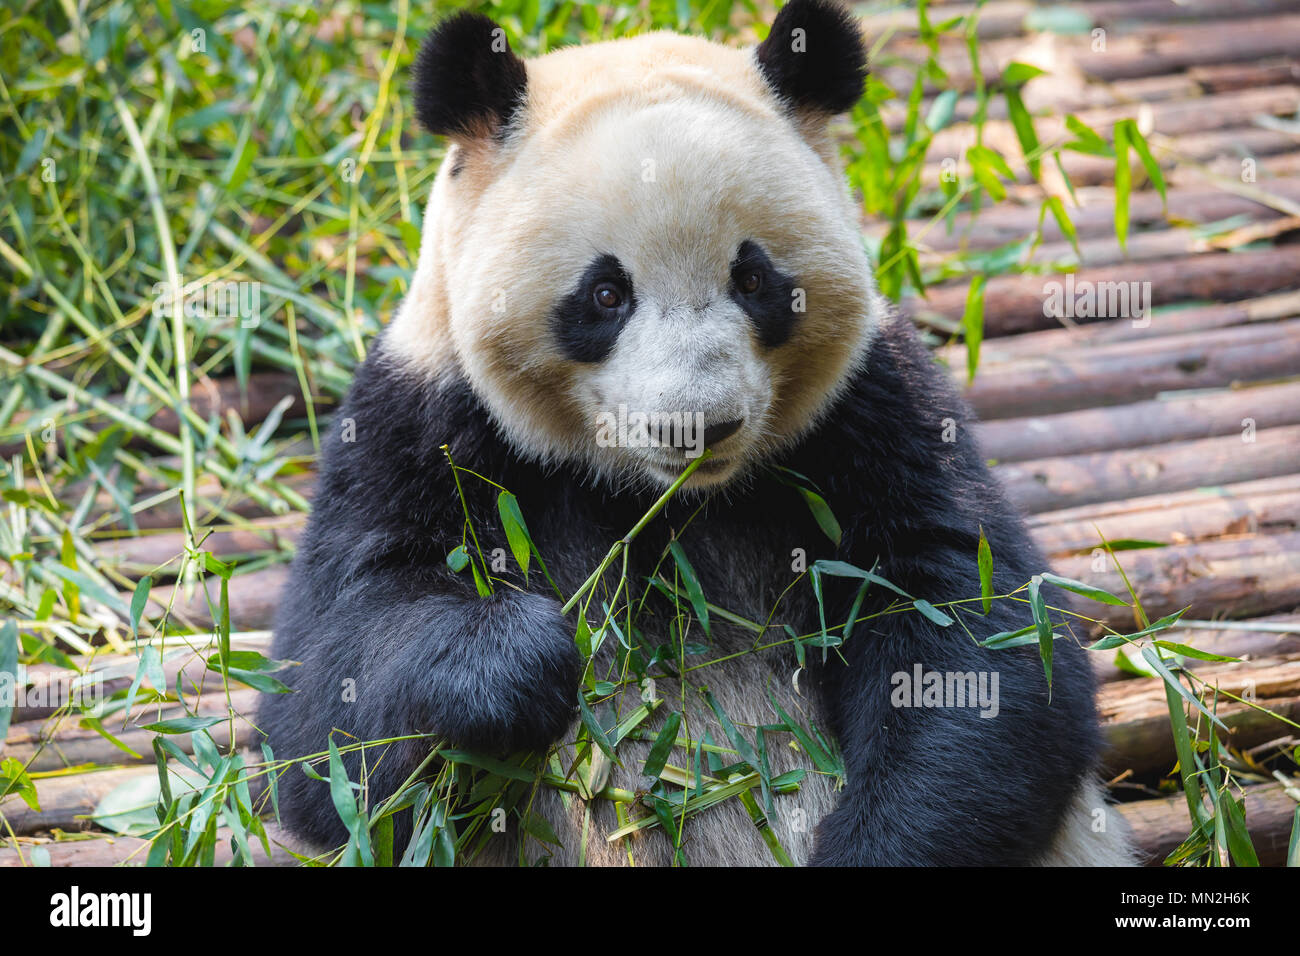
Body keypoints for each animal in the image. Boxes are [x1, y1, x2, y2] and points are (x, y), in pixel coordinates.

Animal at [258, 0, 1133, 868]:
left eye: (753, 278)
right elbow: (327, 711)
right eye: (606, 293)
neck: (668, 500)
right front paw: (514, 659)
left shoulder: (873, 407)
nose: (699, 424)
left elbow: (971, 626)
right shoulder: (423, 422)